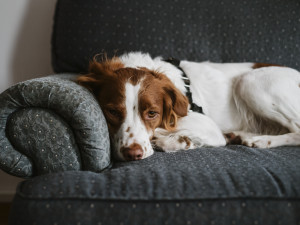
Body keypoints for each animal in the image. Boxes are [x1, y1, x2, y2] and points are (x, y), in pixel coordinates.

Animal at [76, 51, 300, 161]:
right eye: (112, 111)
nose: (133, 154)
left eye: (152, 113)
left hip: (250, 82)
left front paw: (171, 139)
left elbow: (169, 129)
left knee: (297, 131)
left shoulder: (208, 126)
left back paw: (261, 141)